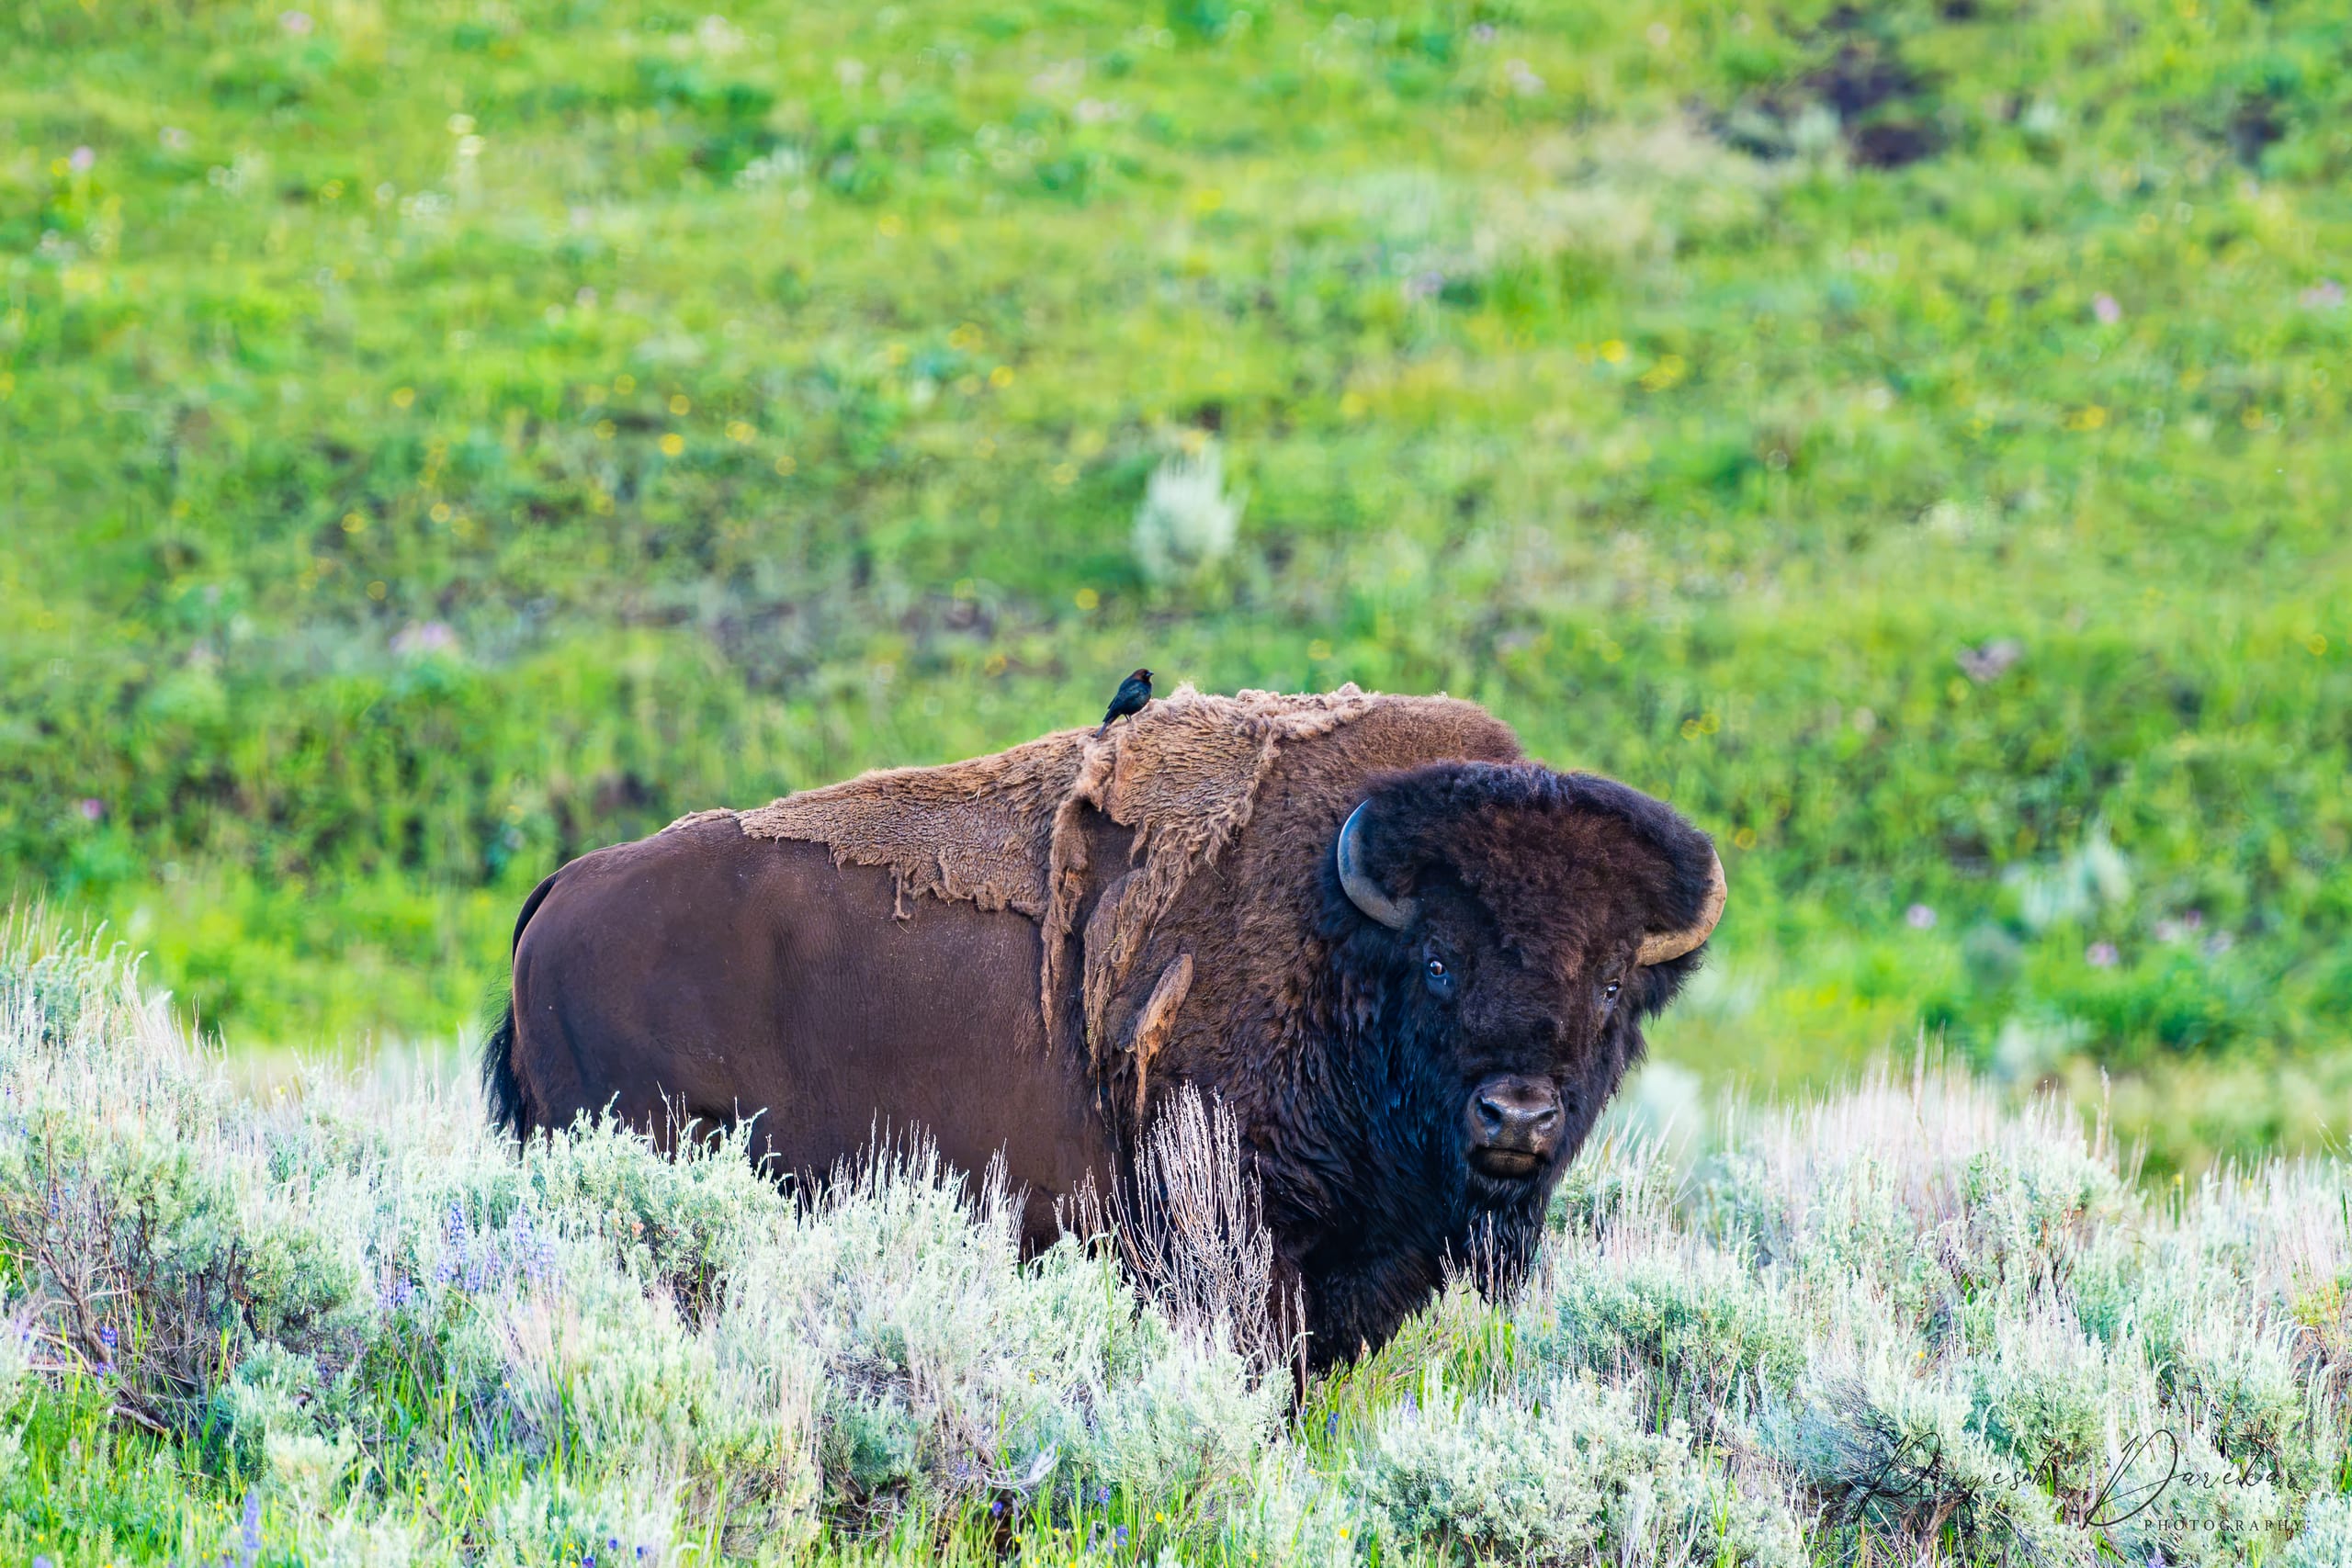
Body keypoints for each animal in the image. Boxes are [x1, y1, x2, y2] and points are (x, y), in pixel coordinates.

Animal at [482, 688, 1722, 1365]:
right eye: (1438, 962)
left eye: (1610, 985)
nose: (1515, 1115)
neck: (1342, 943)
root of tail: (563, 892)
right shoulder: (1240, 1252)